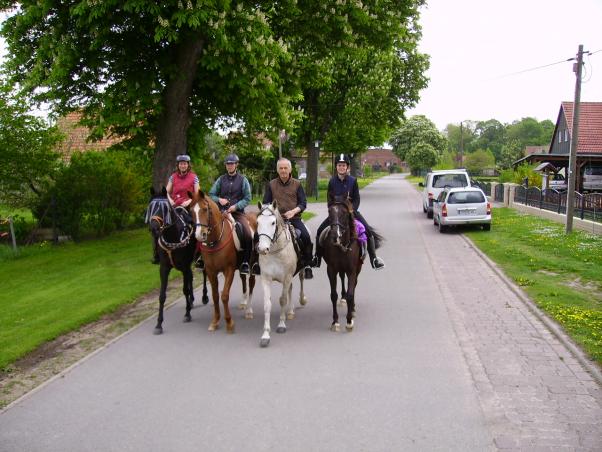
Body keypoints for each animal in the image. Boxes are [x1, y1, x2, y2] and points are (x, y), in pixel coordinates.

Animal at [146, 188, 206, 336]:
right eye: (150, 207)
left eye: (164, 208)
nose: (154, 228)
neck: (173, 235)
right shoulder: (164, 268)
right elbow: (162, 296)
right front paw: (158, 324)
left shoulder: (184, 266)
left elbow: (185, 289)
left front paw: (187, 314)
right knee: (191, 278)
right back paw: (192, 300)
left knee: (204, 275)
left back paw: (204, 297)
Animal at [190, 189, 255, 334]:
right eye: (191, 211)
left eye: (205, 209)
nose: (199, 235)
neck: (216, 240)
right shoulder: (211, 271)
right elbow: (215, 296)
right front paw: (215, 321)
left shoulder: (228, 270)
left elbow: (224, 295)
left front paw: (229, 323)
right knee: (243, 279)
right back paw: (243, 302)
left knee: (251, 283)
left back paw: (249, 310)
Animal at [253, 203, 308, 348]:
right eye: (257, 222)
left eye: (273, 222)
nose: (262, 249)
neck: (275, 251)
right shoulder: (266, 279)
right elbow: (267, 304)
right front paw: (265, 335)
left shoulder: (287, 276)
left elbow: (282, 300)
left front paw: (281, 325)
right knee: (290, 288)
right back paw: (290, 311)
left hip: (299, 271)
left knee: (301, 280)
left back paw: (302, 300)